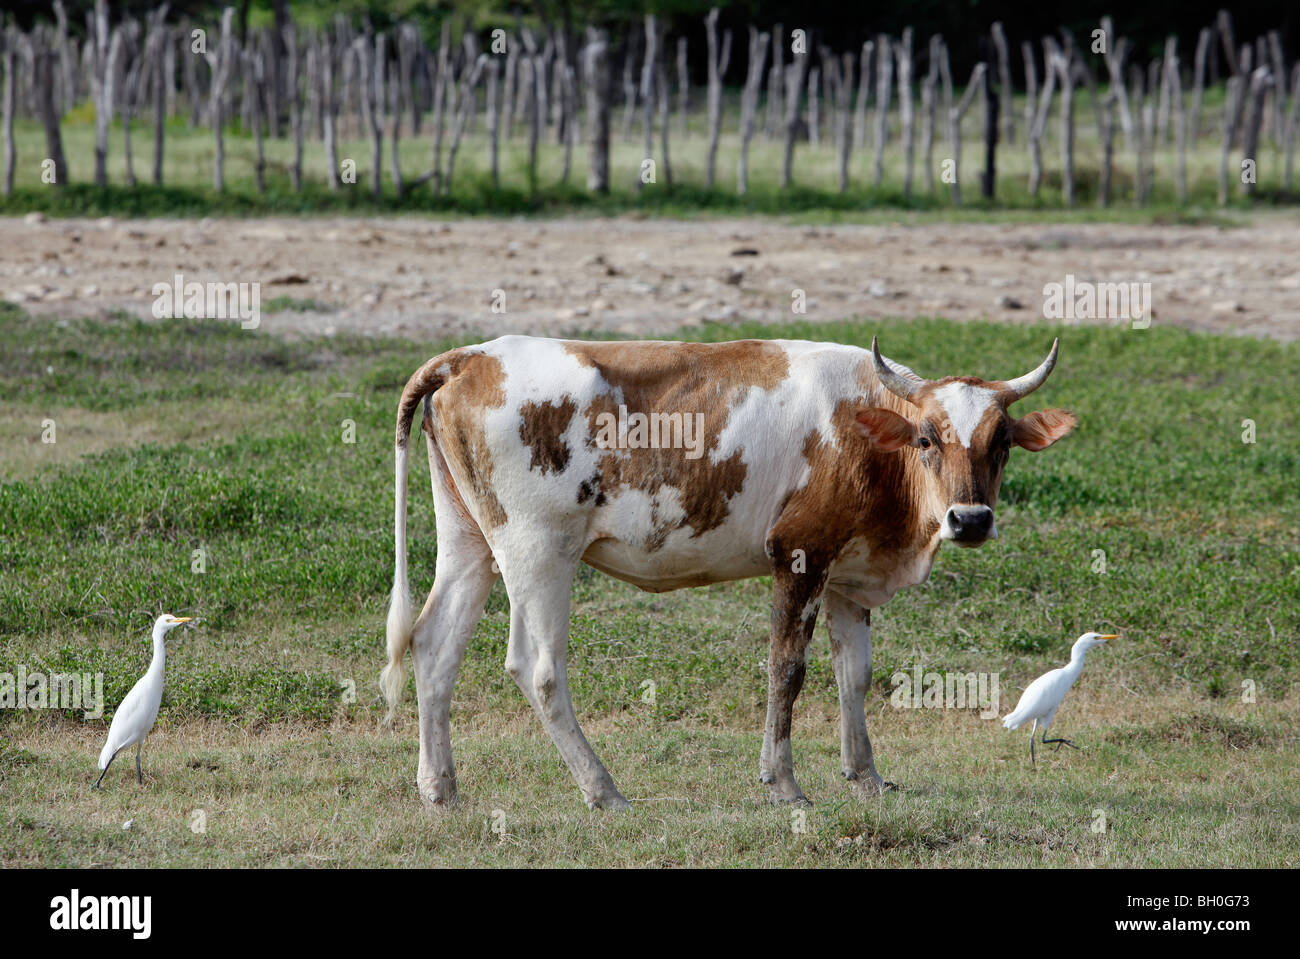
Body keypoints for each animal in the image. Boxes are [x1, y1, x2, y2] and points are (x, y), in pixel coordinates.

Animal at [380, 334, 1076, 809]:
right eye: (927, 438)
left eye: (1002, 443)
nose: (971, 519)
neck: (866, 430)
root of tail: (471, 356)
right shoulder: (800, 553)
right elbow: (787, 671)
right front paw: (784, 783)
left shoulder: (849, 576)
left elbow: (854, 677)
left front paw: (866, 777)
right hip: (538, 551)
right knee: (538, 668)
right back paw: (604, 790)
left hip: (469, 539)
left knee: (435, 645)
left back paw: (440, 788)